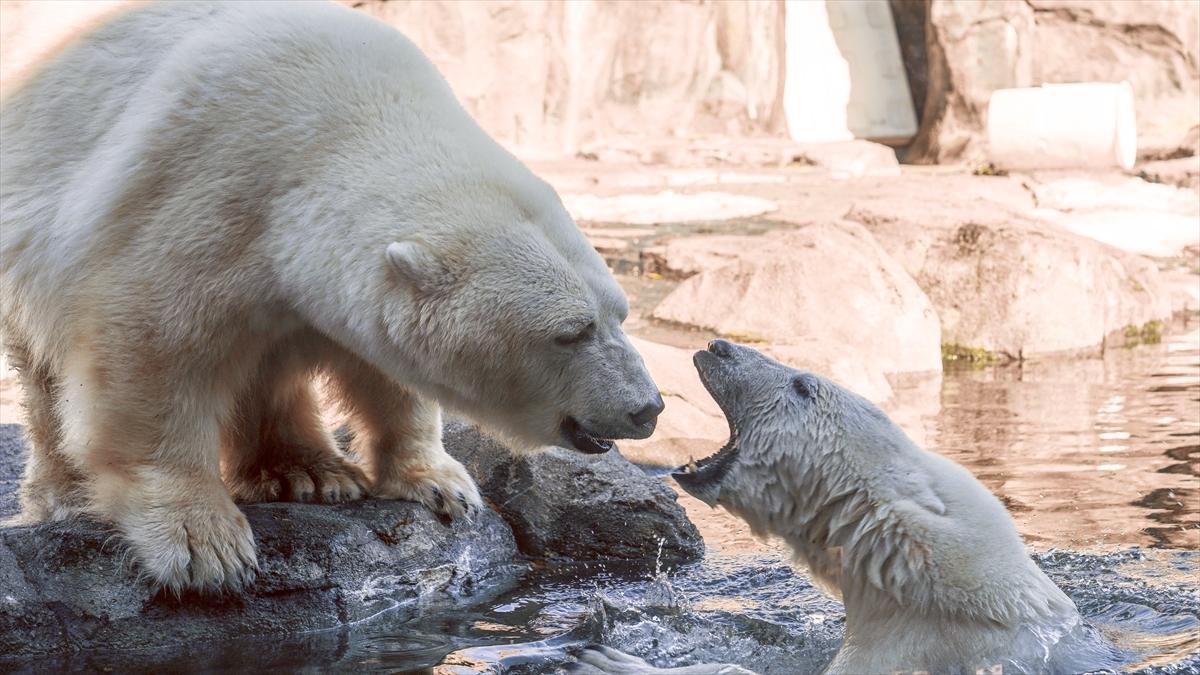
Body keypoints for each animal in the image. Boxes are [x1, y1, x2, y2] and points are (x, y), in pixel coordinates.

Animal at [0, 2, 662, 593]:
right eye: (571, 331)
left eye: (621, 314)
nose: (647, 407)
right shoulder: (196, 190)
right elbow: (150, 346)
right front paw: (203, 545)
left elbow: (385, 366)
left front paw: (444, 484)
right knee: (45, 372)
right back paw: (67, 497)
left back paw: (310, 473)